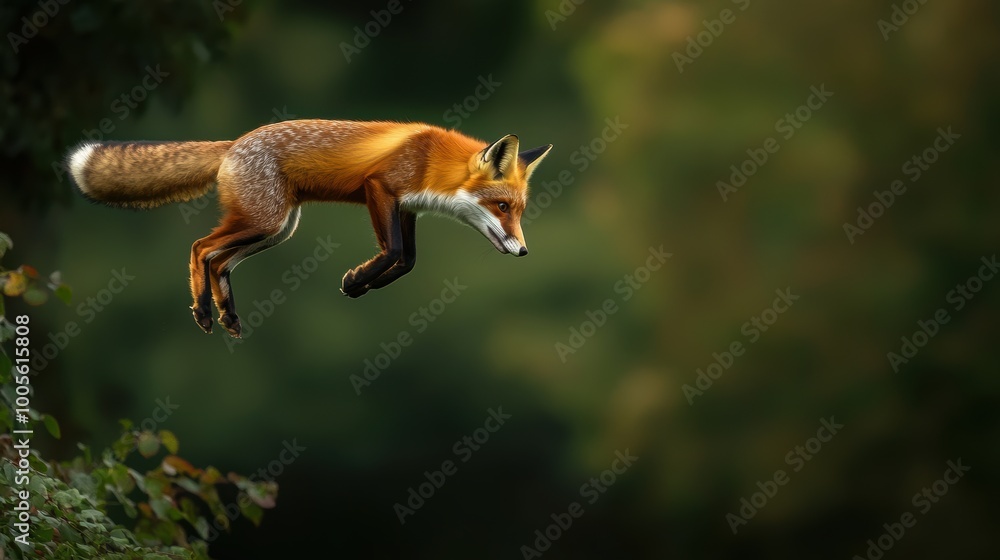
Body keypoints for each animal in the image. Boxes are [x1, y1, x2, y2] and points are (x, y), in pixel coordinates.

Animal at [66, 119, 552, 338]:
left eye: (519, 211)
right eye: (502, 207)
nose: (524, 251)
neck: (431, 161)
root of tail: (234, 143)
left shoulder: (406, 208)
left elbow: (408, 260)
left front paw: (360, 284)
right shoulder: (379, 188)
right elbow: (396, 253)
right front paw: (357, 280)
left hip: (276, 229)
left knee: (220, 262)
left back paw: (228, 315)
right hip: (265, 221)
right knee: (200, 247)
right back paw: (203, 310)